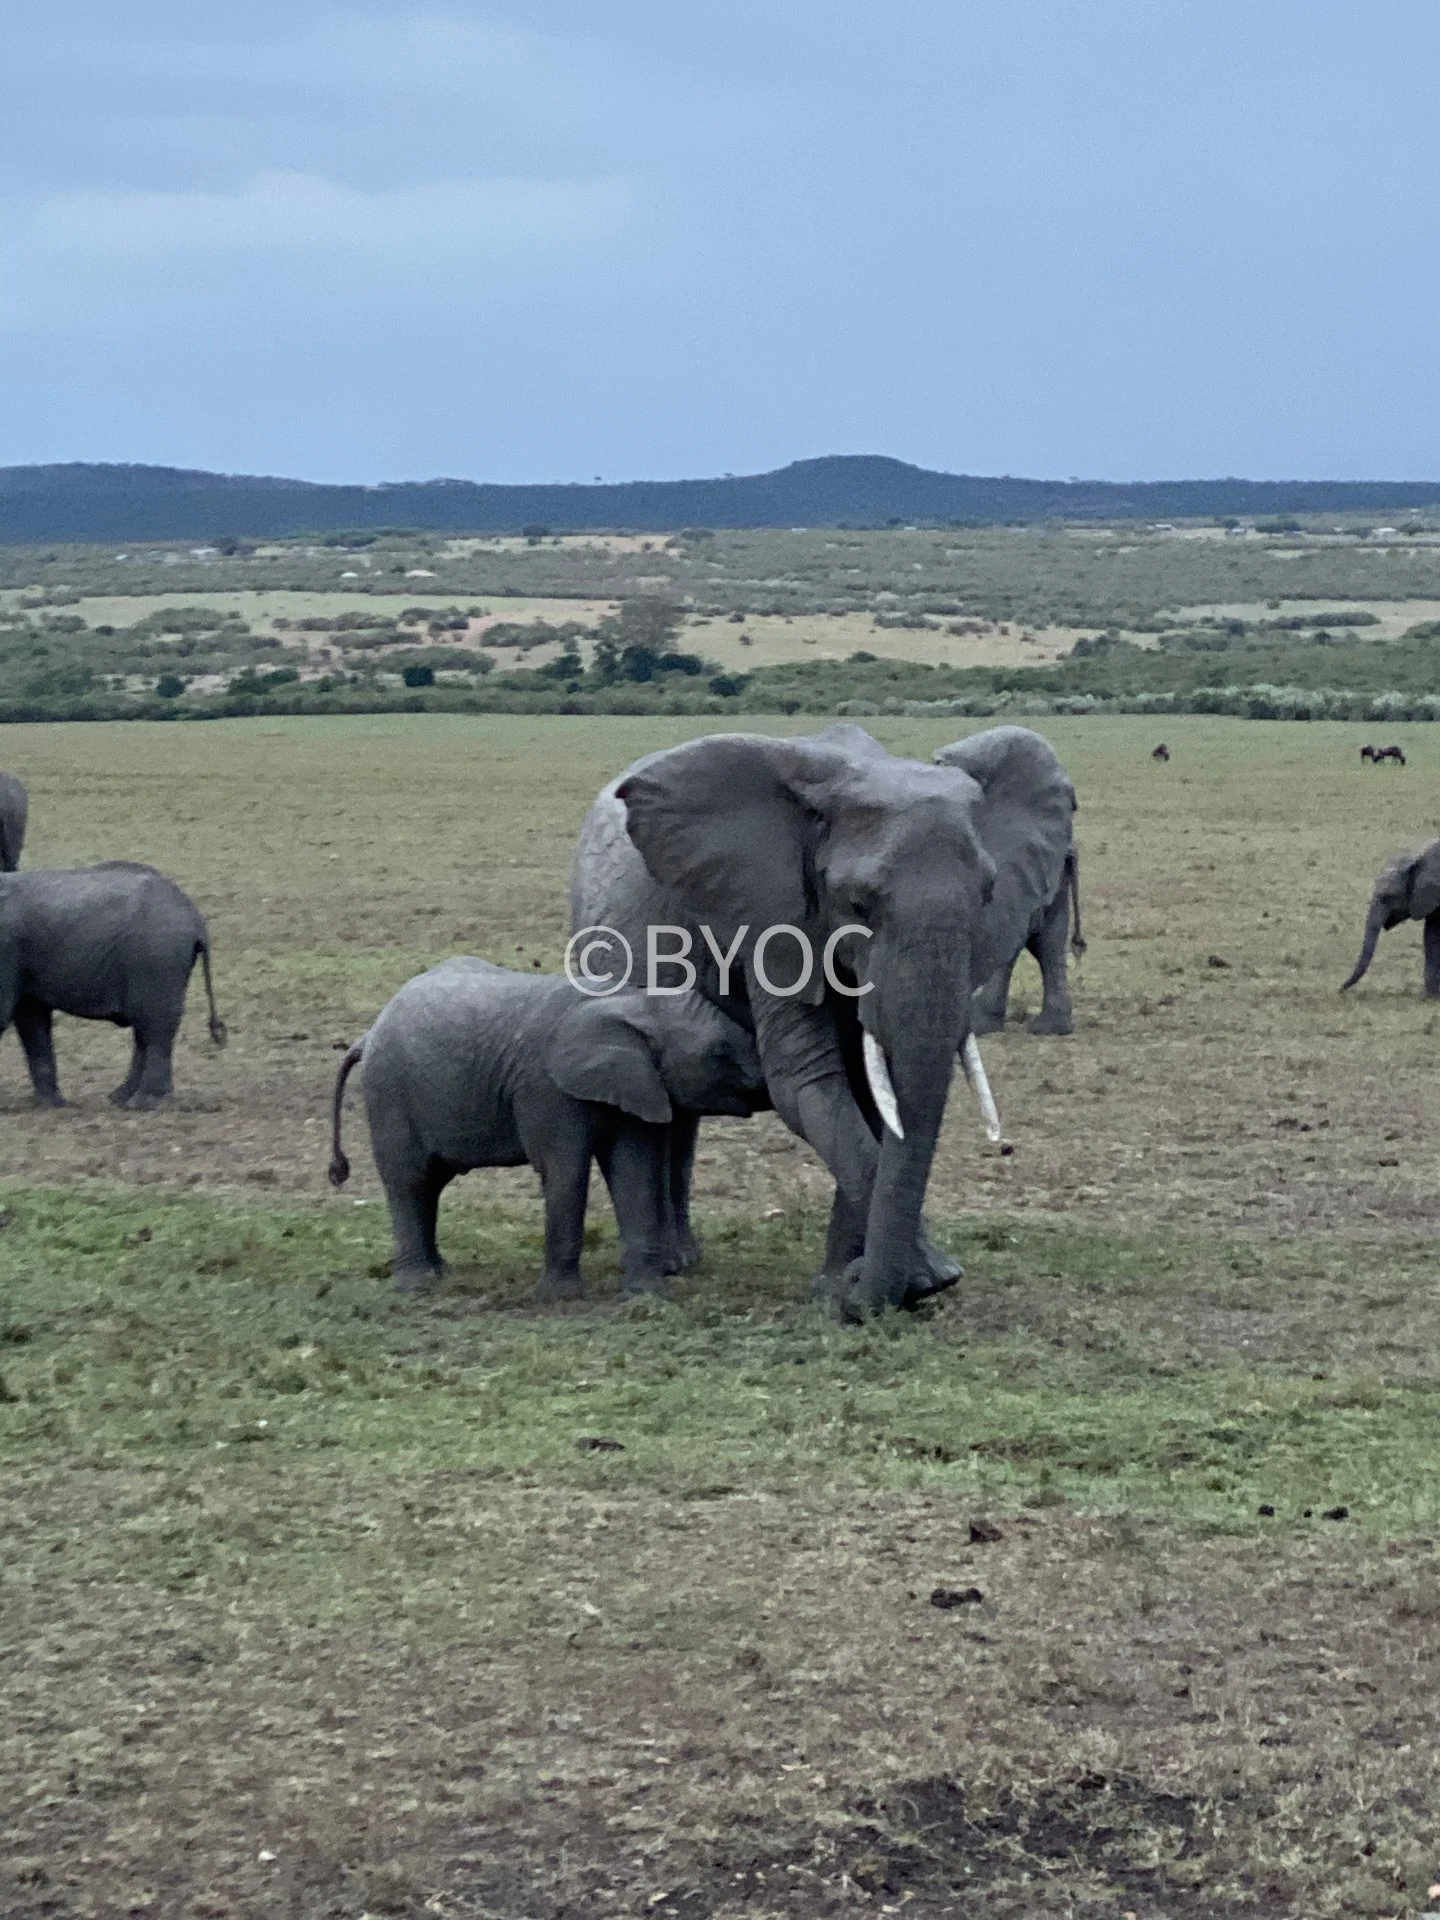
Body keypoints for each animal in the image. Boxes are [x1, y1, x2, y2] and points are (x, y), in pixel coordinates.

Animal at [0, 862, 227, 1107]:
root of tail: (197, 921)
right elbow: (31, 1017)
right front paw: (51, 1104)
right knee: (145, 1029)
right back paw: (121, 1098)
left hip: (156, 958)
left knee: (155, 1025)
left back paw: (142, 1103)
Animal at [327, 957, 768, 1296]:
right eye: (720, 1052)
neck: (632, 1004)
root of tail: (367, 1034)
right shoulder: (546, 1089)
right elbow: (565, 1171)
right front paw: (561, 1297)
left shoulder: (639, 1086)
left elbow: (634, 1170)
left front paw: (648, 1293)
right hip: (389, 1091)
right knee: (411, 1180)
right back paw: (418, 1285)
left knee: (430, 1183)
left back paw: (439, 1272)